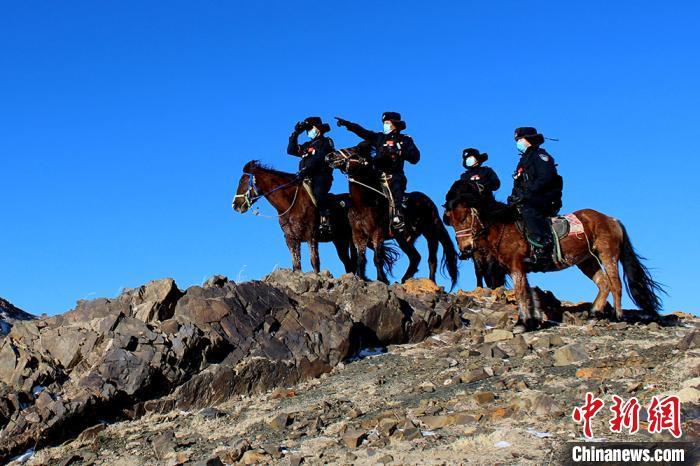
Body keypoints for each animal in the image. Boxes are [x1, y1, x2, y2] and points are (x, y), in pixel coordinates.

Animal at [326, 143, 460, 288]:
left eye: (353, 151)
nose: (329, 156)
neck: (364, 204)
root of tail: (428, 202)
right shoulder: (358, 235)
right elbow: (361, 259)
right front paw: (361, 278)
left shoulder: (377, 233)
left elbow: (377, 258)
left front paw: (381, 279)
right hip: (404, 238)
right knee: (415, 257)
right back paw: (405, 279)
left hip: (430, 234)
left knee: (432, 260)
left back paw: (431, 282)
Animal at [446, 186, 664, 332]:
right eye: (451, 221)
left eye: (464, 218)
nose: (465, 249)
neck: (504, 227)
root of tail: (612, 219)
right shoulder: (521, 269)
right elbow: (528, 294)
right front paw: (531, 321)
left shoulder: (516, 266)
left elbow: (521, 294)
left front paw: (522, 324)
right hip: (586, 260)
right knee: (604, 284)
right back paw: (594, 314)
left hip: (607, 254)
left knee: (615, 284)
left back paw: (617, 316)